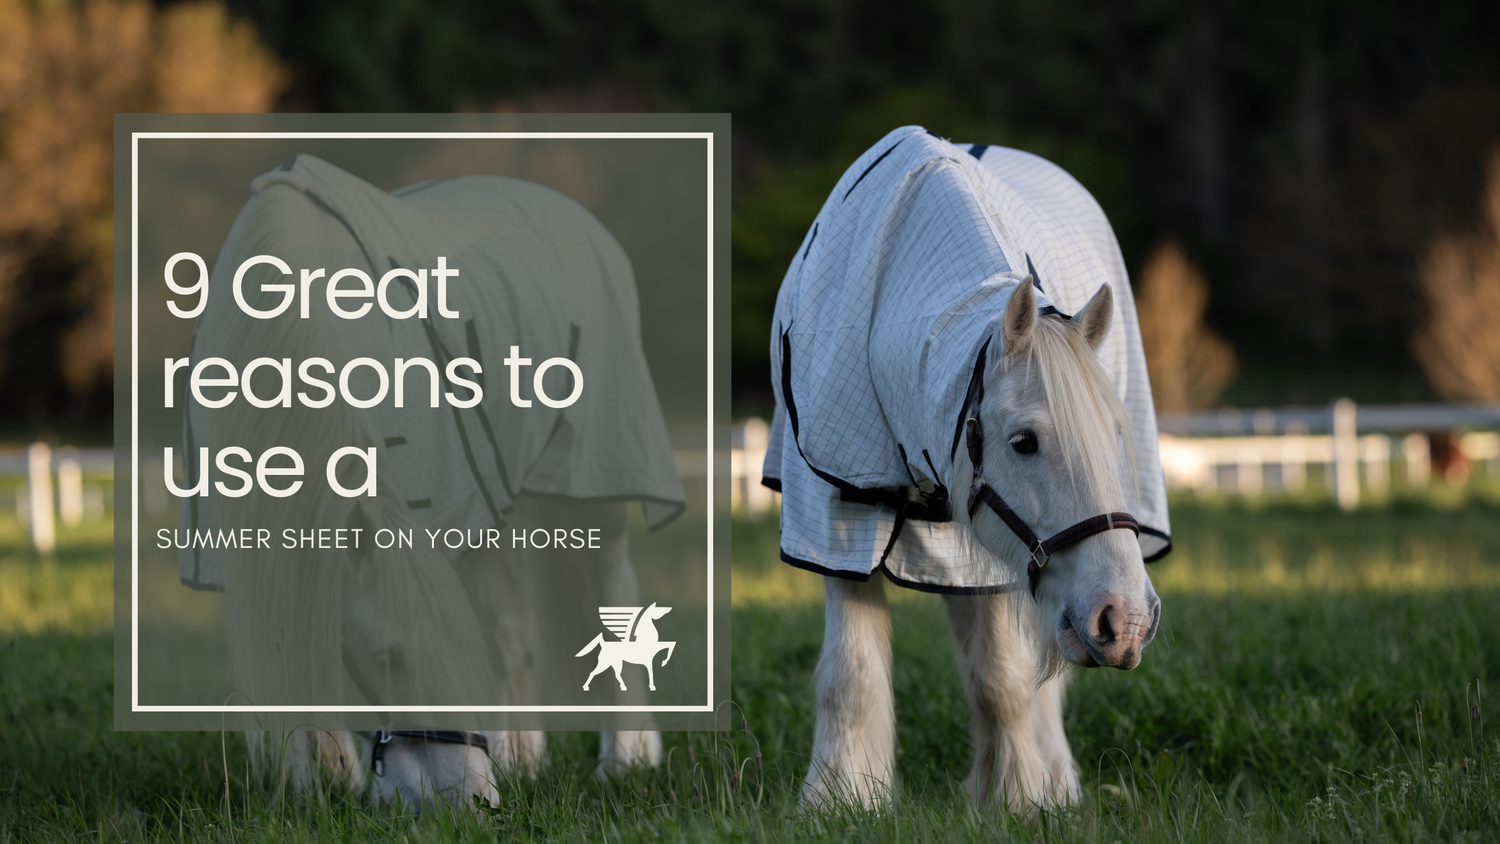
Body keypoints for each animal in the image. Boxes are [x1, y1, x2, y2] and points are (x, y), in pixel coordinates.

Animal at [179, 154, 685, 811]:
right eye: (386, 656)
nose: (468, 798)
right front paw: (313, 786)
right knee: (515, 628)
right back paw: (522, 761)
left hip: (594, 478)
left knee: (608, 597)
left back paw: (625, 761)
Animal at [764, 127, 1171, 812]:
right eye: (1024, 441)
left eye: (1116, 436)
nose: (1127, 622)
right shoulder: (835, 516)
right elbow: (852, 671)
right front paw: (842, 797)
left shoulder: (983, 553)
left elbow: (1002, 677)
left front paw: (1016, 797)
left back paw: (1056, 778)